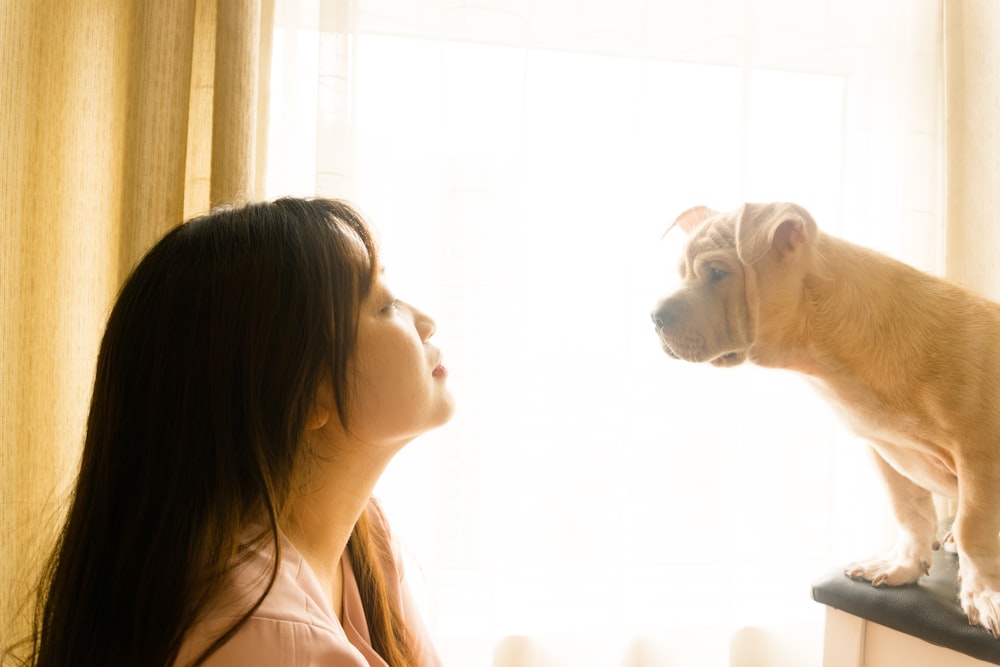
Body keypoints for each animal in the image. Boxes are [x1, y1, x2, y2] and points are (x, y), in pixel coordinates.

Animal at [652, 202, 1000, 636]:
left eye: (718, 273)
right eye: (680, 273)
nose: (654, 315)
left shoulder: (980, 457)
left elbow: (974, 529)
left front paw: (983, 593)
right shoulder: (884, 450)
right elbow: (910, 512)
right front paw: (902, 565)